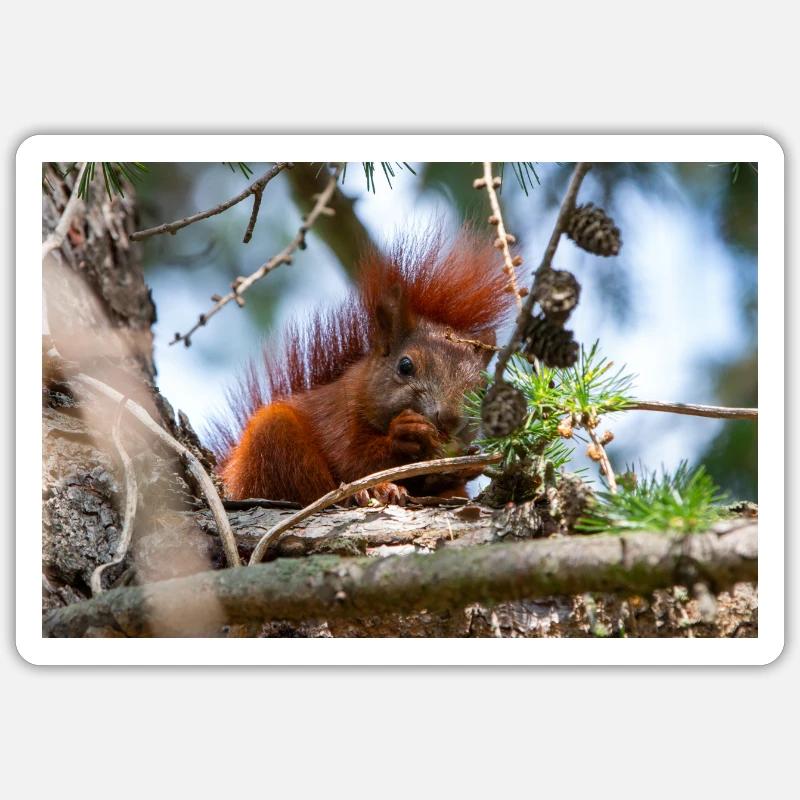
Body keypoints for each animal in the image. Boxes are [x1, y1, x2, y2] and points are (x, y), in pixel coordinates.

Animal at [209, 227, 517, 506]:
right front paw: (405, 433)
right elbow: (353, 459)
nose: (450, 418)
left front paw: (466, 465)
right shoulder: (337, 417)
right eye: (405, 366)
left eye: (481, 389)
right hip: (272, 441)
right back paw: (371, 491)